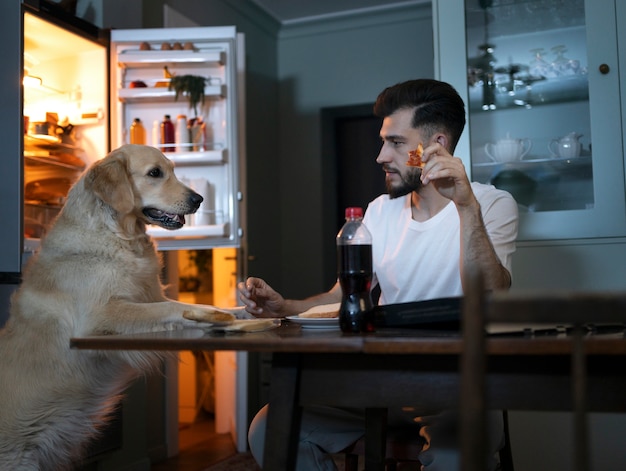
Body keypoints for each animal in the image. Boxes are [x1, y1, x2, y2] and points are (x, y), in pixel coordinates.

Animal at [0, 146, 234, 470]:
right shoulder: (101, 316)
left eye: (172, 170)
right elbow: (169, 311)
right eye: (155, 173)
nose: (198, 199)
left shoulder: (150, 295)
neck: (116, 235)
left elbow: (175, 306)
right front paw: (213, 314)